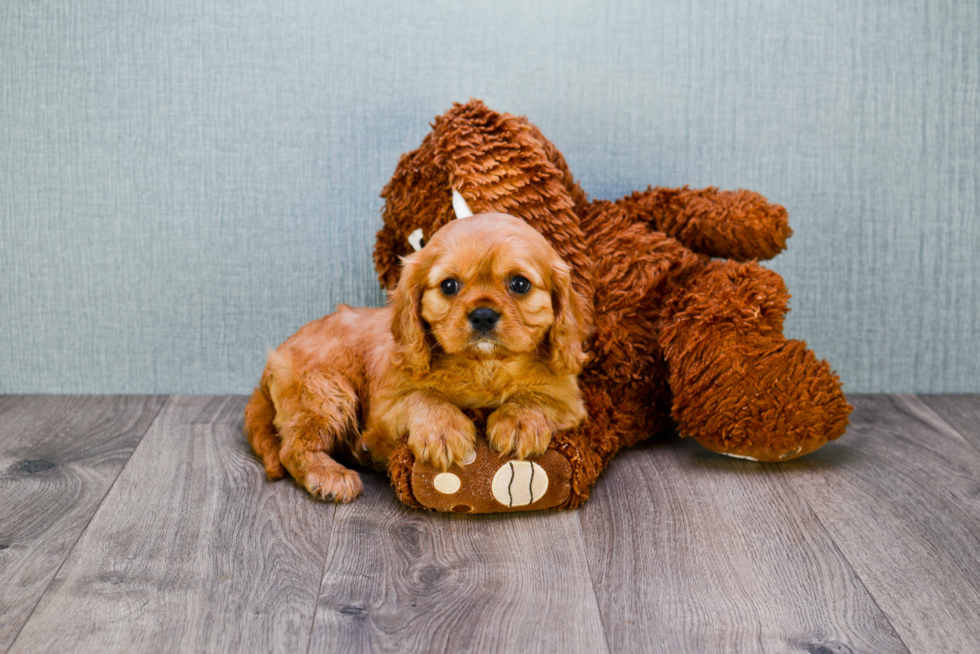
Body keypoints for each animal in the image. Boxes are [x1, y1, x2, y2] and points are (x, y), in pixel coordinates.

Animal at [245, 213, 588, 504]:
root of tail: (274, 358)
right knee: (292, 448)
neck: (484, 366)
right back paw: (330, 475)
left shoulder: (570, 402)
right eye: (449, 285)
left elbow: (537, 397)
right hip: (326, 391)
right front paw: (443, 431)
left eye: (520, 283)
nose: (483, 315)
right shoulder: (385, 409)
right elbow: (423, 395)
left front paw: (518, 422)